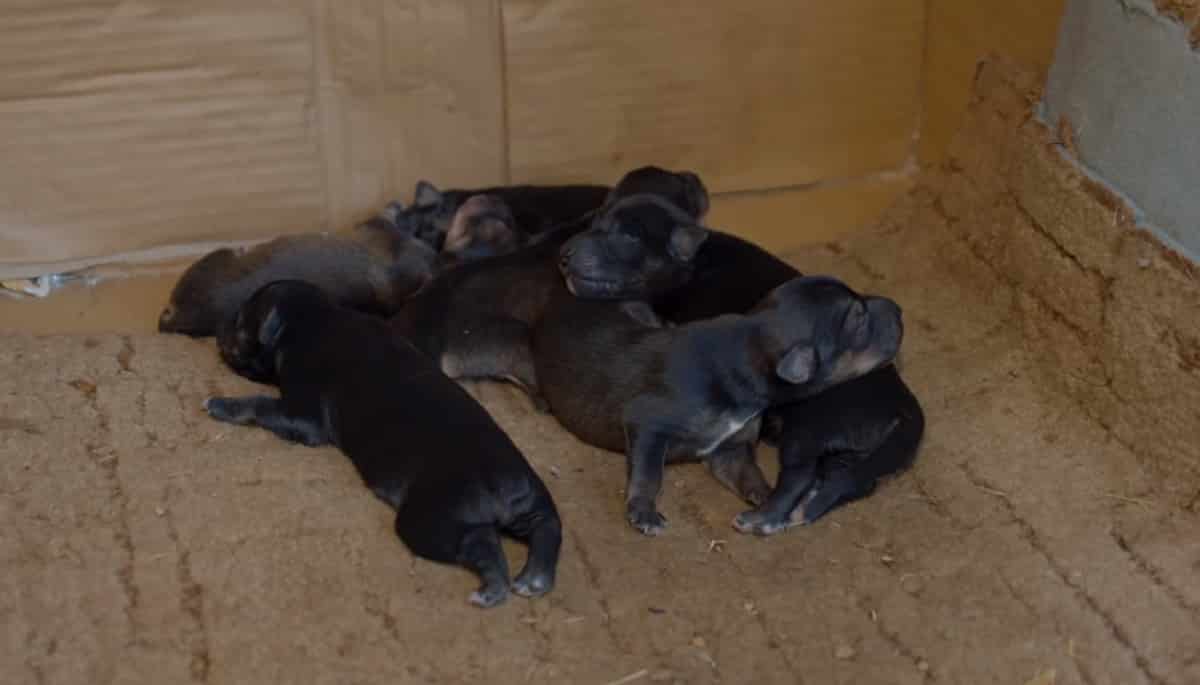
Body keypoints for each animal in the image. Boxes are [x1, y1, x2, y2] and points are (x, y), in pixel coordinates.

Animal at [206, 281, 561, 609]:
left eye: (240, 319)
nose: (218, 324)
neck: (312, 318)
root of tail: (509, 486)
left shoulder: (304, 415)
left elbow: (260, 404)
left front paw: (220, 404)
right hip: (534, 500)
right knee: (547, 526)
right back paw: (535, 578)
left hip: (431, 516)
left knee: (481, 540)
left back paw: (493, 588)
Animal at [556, 219, 921, 530]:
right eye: (859, 318)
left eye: (626, 236)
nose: (899, 310)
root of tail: (909, 408)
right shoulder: (648, 420)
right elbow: (648, 472)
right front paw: (644, 510)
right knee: (814, 477)